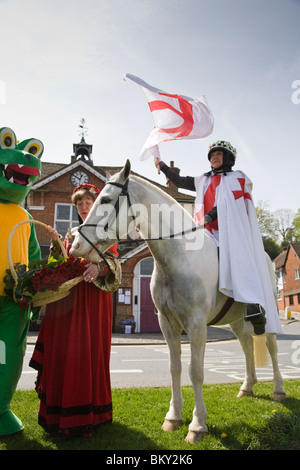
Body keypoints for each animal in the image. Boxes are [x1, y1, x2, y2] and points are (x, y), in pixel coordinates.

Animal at [70, 162, 286, 444]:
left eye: (105, 199)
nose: (76, 246)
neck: (180, 257)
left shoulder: (196, 325)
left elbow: (196, 371)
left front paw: (197, 425)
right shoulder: (167, 324)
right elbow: (175, 368)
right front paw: (173, 417)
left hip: (268, 316)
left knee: (271, 348)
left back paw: (278, 389)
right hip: (237, 321)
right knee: (247, 346)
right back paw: (247, 387)